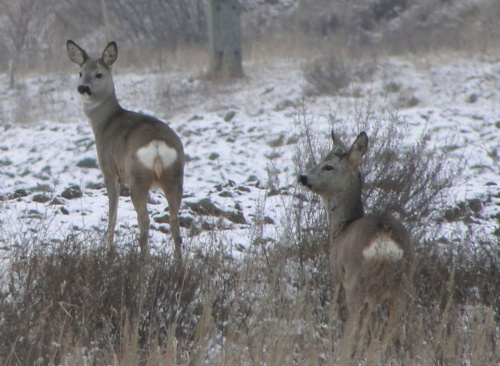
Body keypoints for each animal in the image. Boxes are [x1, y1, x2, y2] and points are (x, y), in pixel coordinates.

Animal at [66, 40, 184, 260]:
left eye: (99, 74)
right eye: (80, 73)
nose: (83, 88)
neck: (105, 123)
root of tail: (157, 143)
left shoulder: (109, 170)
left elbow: (112, 212)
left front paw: (109, 250)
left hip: (137, 177)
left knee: (144, 219)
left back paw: (144, 260)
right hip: (175, 176)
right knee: (174, 221)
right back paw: (178, 264)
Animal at [298, 130, 412, 358]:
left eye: (328, 166)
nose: (303, 177)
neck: (341, 228)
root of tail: (383, 241)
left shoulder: (336, 275)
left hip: (355, 280)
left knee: (353, 325)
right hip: (403, 282)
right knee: (395, 327)